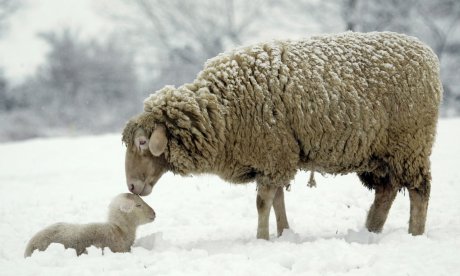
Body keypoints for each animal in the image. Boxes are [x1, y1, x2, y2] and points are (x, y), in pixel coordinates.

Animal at [121, 30, 442, 239]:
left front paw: (262, 238)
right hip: (379, 152)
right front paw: (284, 233)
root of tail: (428, 54)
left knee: (420, 190)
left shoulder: (272, 153)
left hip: (410, 143)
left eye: (142, 142)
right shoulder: (275, 156)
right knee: (386, 192)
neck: (220, 110)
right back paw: (371, 231)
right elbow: (276, 200)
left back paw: (415, 233)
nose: (132, 186)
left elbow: (263, 202)